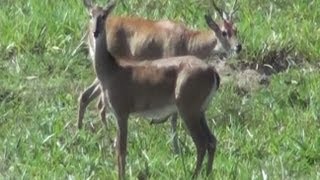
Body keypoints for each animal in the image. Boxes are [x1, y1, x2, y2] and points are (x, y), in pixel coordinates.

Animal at [78, 0, 240, 154]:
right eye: (224, 32)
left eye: (235, 29)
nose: (238, 47)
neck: (187, 40)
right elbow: (174, 117)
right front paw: (176, 149)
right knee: (98, 103)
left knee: (86, 96)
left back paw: (81, 133)